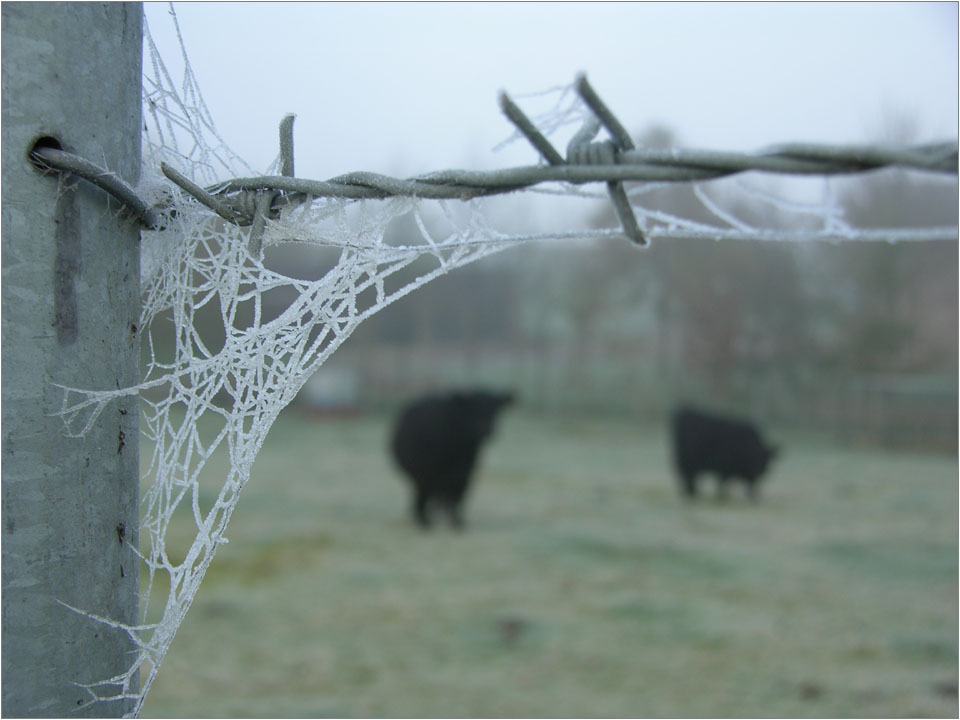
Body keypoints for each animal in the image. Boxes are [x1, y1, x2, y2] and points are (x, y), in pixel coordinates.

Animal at [388, 388, 512, 528]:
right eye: (471, 409)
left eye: (495, 408)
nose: (485, 428)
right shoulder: (425, 474)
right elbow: (424, 495)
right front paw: (423, 521)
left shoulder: (464, 472)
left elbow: (457, 496)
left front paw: (456, 521)